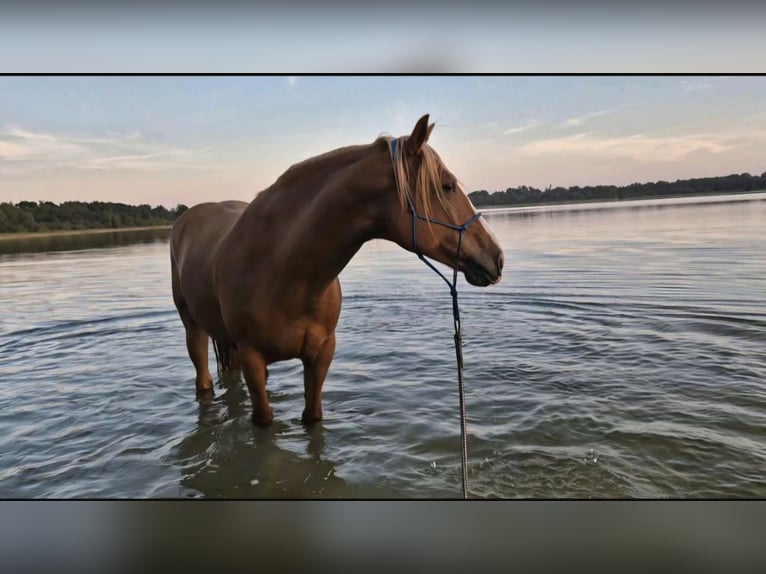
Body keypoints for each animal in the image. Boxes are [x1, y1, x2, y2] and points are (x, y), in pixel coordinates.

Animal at [170, 114, 504, 426]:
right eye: (447, 186)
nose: (497, 257)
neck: (284, 273)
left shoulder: (321, 355)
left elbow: (313, 419)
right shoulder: (253, 358)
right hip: (194, 330)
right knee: (203, 379)